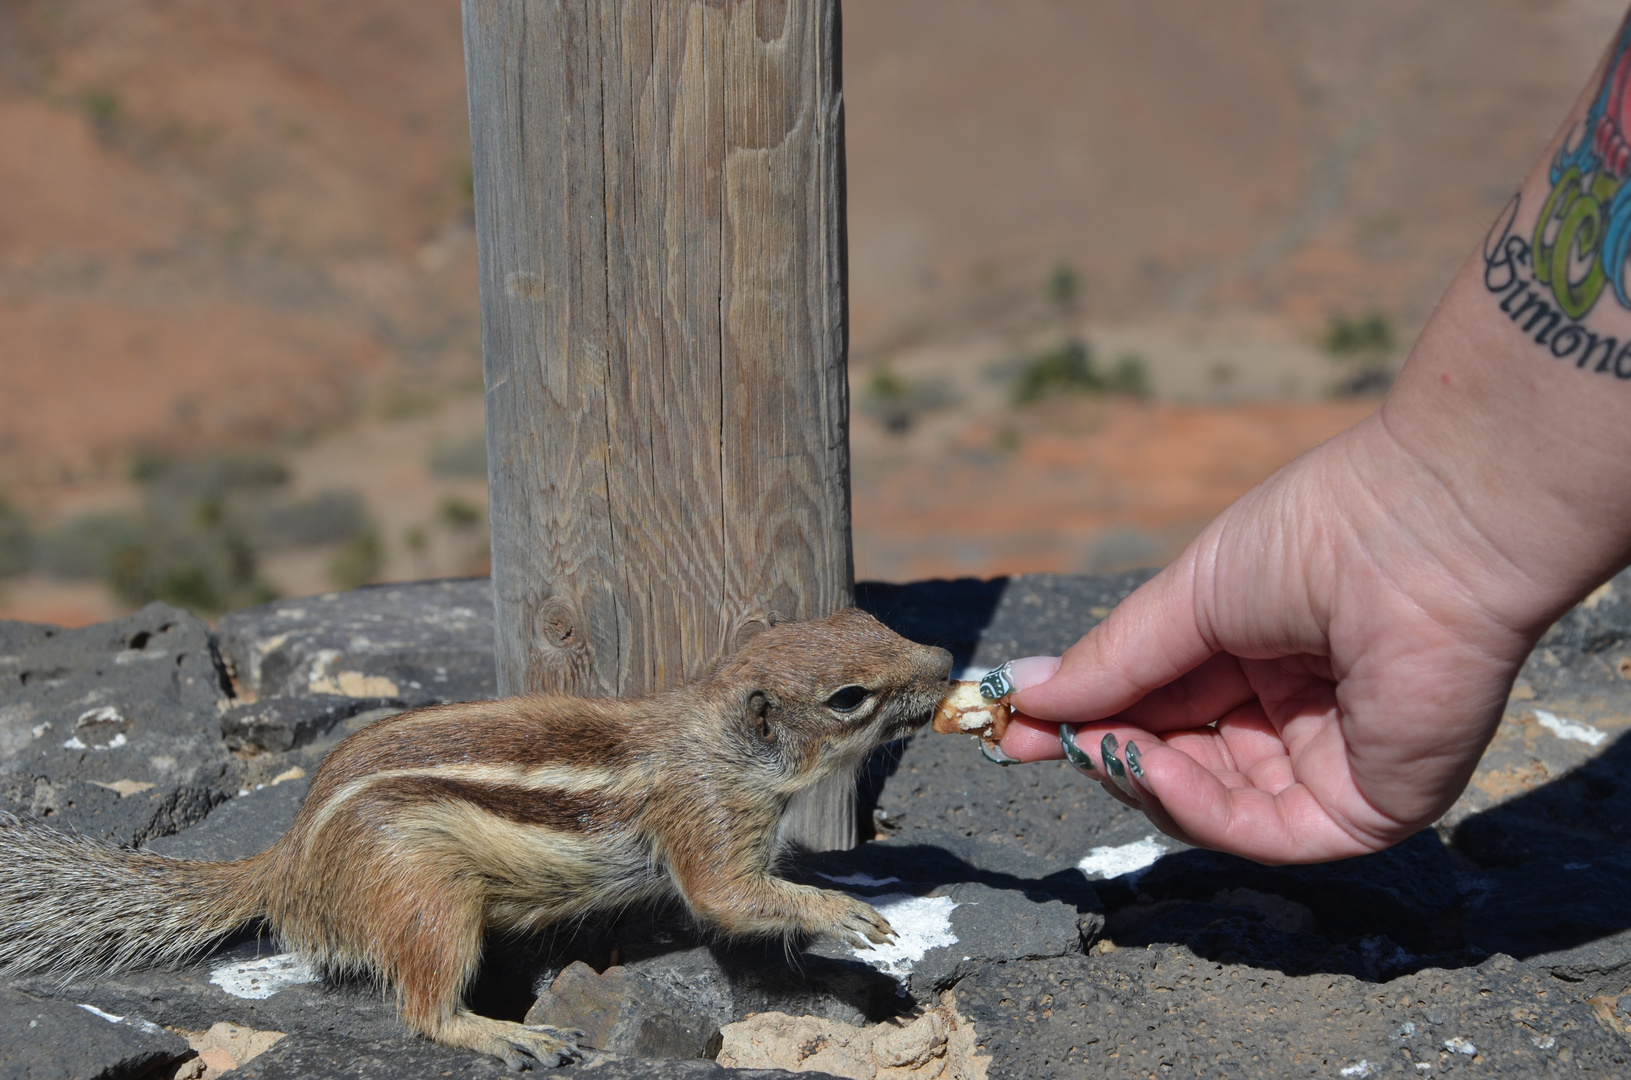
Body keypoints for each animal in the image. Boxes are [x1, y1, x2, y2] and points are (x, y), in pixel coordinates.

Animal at [0, 613, 952, 1070]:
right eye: (847, 697)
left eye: (868, 617)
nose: (945, 662)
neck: (713, 735)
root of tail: (288, 867)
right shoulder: (705, 818)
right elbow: (726, 894)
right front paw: (840, 910)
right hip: (426, 896)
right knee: (423, 1009)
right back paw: (504, 1037)